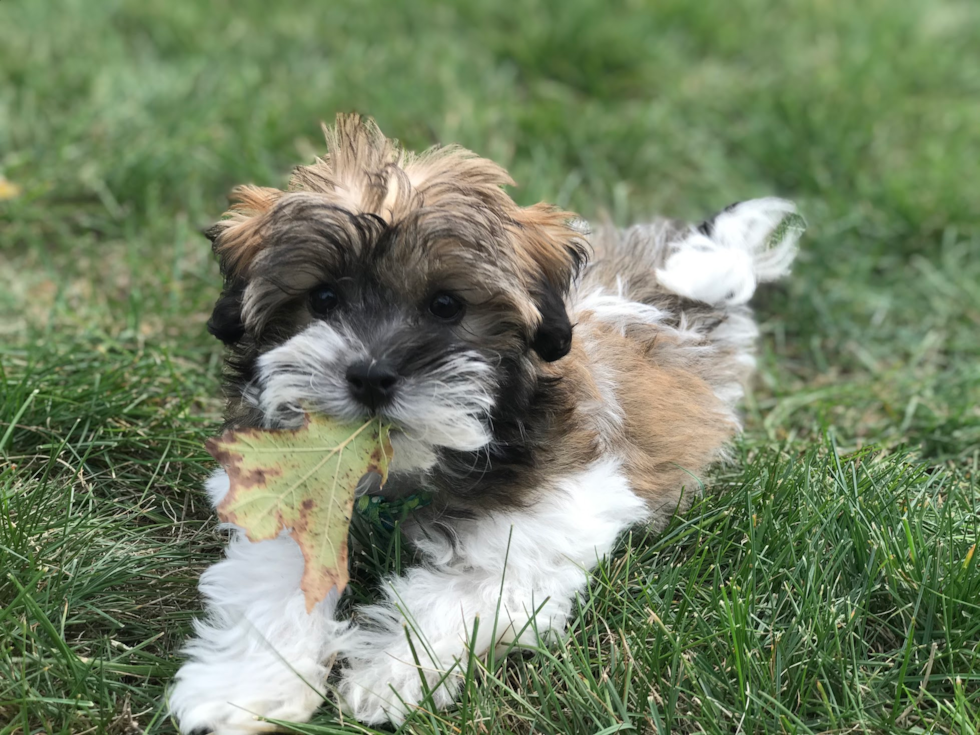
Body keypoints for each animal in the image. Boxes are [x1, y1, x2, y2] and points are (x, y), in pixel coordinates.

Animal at [168, 112, 804, 732]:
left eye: (447, 305)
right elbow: (278, 581)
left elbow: (461, 592)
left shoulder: (550, 525)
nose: (371, 376)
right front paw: (244, 693)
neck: (406, 473)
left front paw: (386, 678)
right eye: (322, 299)